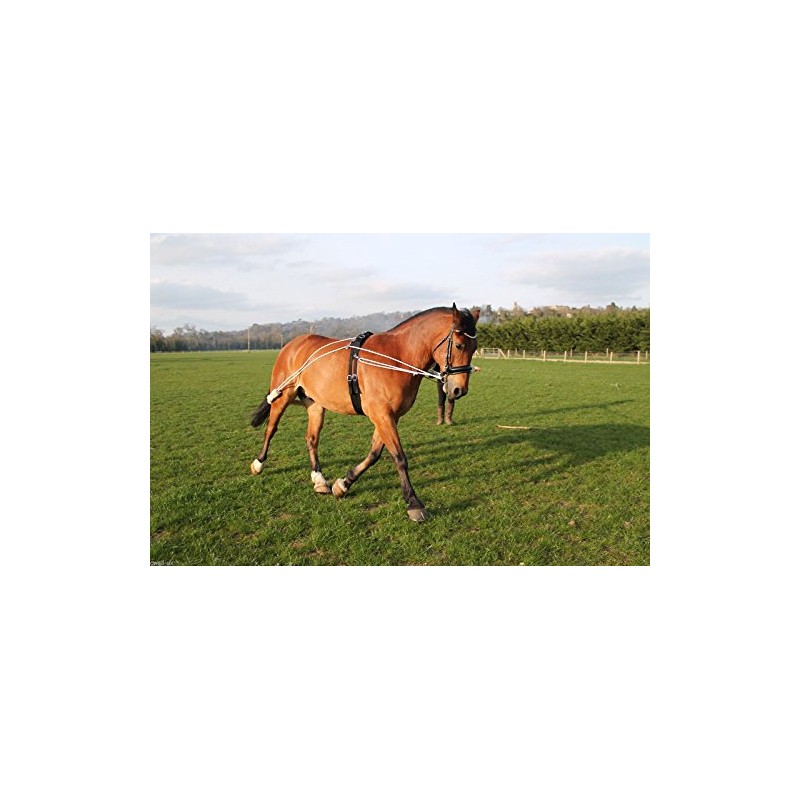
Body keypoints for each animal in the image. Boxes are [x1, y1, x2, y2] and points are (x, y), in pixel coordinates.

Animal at [249, 304, 480, 522]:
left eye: (475, 347)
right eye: (459, 345)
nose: (459, 390)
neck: (395, 357)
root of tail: (293, 344)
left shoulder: (389, 416)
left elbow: (374, 453)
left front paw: (344, 483)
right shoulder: (382, 414)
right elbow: (399, 457)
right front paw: (414, 503)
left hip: (315, 404)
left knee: (312, 439)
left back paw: (319, 479)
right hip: (283, 396)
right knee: (271, 429)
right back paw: (259, 463)